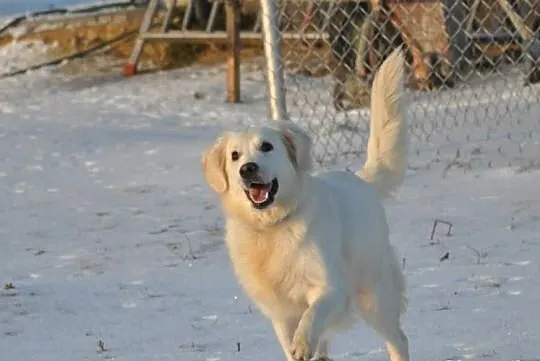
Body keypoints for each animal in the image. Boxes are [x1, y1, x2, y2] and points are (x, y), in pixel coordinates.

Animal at [202, 48, 410, 360]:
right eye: (235, 155)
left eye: (266, 146)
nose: (247, 170)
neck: (273, 227)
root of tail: (361, 180)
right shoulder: (279, 313)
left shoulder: (331, 288)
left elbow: (312, 315)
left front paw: (302, 344)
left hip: (375, 294)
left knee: (398, 339)